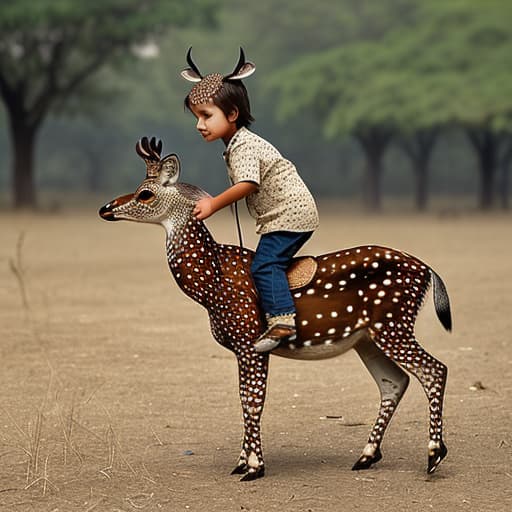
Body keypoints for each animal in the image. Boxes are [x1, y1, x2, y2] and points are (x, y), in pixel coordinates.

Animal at [100, 135, 452, 480]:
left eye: (145, 193)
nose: (106, 208)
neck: (211, 287)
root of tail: (428, 271)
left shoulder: (249, 339)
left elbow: (253, 400)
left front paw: (254, 466)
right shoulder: (241, 346)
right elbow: (244, 398)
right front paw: (241, 462)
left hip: (392, 322)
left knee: (434, 369)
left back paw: (433, 455)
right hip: (367, 337)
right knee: (394, 382)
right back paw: (367, 456)